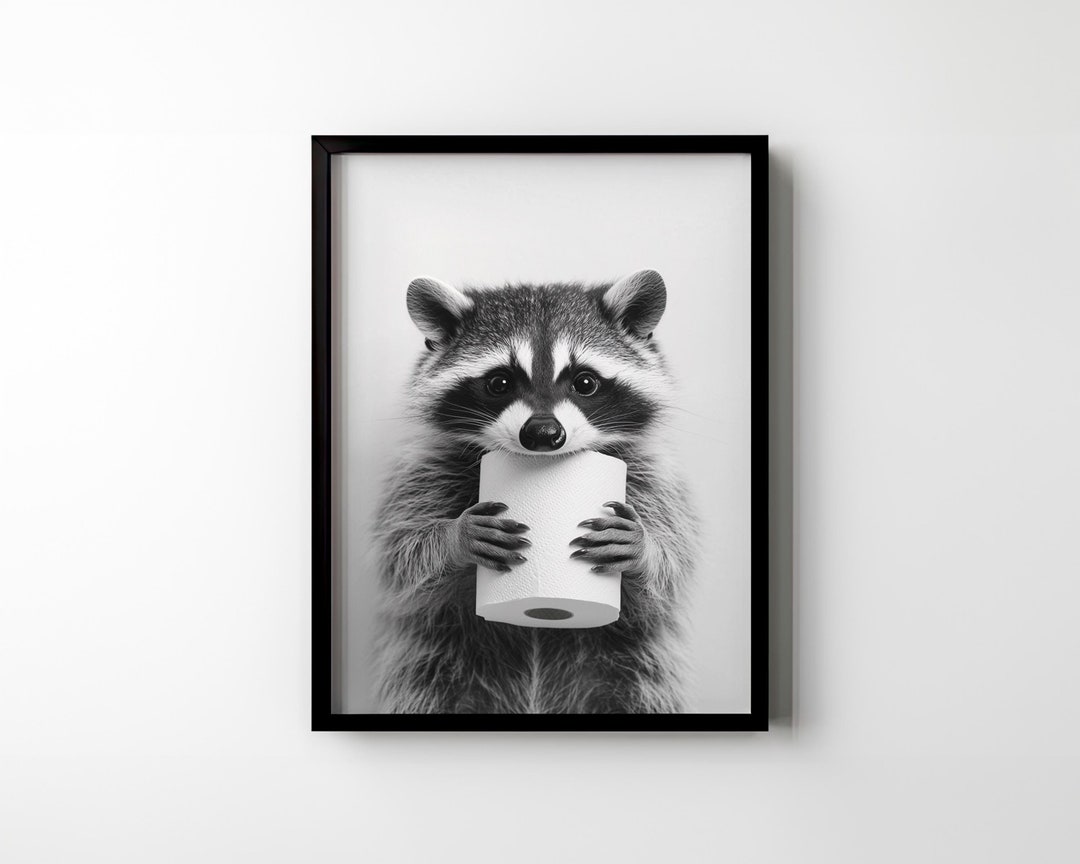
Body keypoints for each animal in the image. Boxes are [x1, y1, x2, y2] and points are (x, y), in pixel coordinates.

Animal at [372, 269, 698, 714]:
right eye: (499, 383)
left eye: (585, 382)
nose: (543, 434)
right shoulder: (426, 469)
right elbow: (401, 554)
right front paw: (452, 538)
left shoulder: (650, 473)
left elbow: (673, 566)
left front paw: (645, 549)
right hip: (438, 667)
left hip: (629, 670)